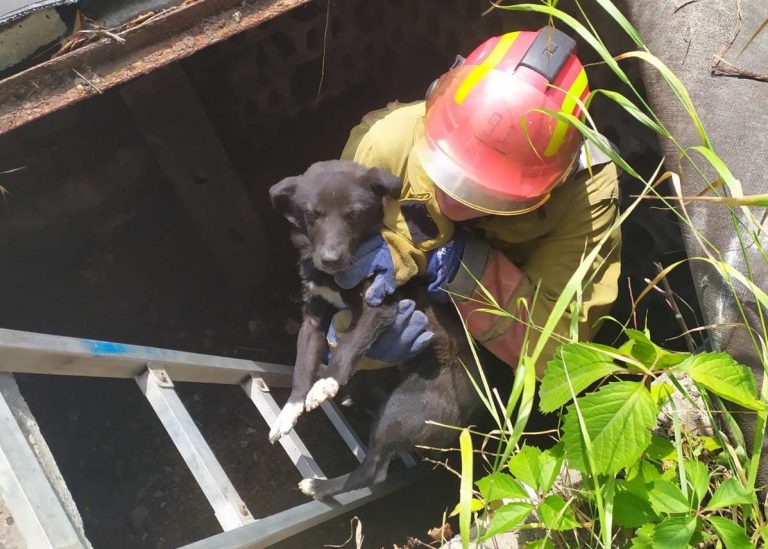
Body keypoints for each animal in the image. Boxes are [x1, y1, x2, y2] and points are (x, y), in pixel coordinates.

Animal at [268, 158, 480, 496]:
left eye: (353, 215)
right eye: (312, 215)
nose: (329, 259)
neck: (336, 278)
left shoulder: (379, 306)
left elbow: (348, 345)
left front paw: (326, 383)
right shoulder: (313, 318)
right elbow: (301, 366)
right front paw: (291, 408)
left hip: (404, 406)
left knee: (371, 473)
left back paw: (320, 486)